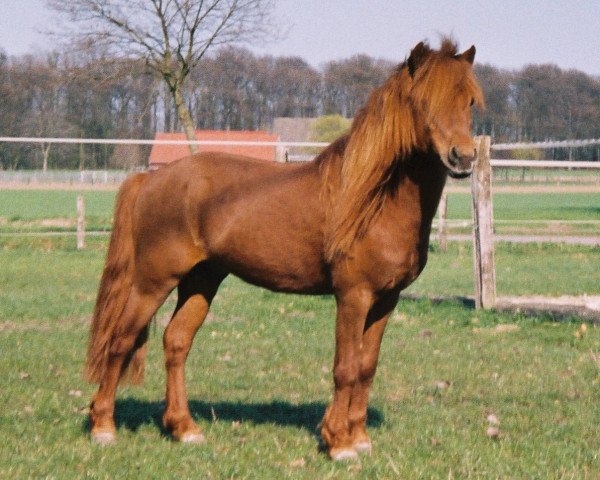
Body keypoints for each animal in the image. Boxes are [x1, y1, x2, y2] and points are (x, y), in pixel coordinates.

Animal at [86, 39, 486, 460]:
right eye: (423, 101)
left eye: (469, 101)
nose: (462, 157)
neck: (373, 200)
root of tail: (152, 179)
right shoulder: (353, 295)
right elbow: (345, 367)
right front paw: (338, 442)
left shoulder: (386, 299)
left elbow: (366, 366)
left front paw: (360, 438)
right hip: (152, 281)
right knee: (120, 340)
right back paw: (103, 427)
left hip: (201, 280)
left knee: (176, 343)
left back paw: (184, 428)